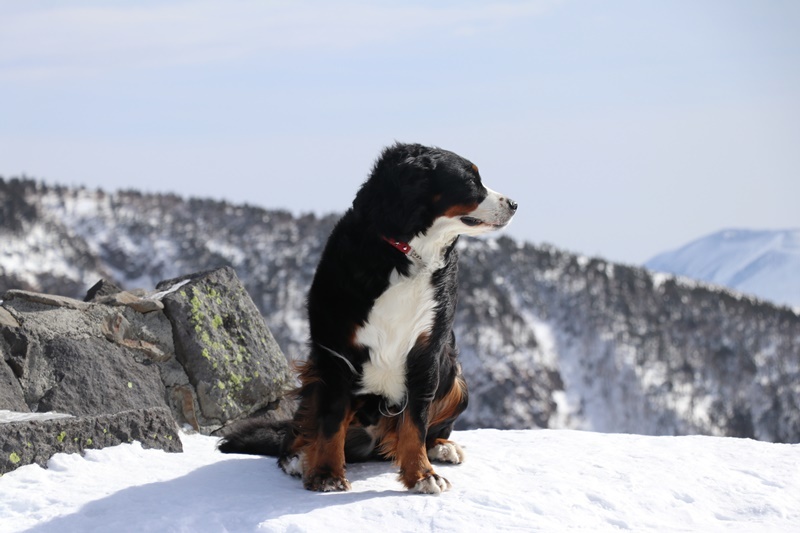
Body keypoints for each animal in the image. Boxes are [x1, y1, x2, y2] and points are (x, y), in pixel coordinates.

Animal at [219, 142, 520, 494]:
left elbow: (416, 424)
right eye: (471, 180)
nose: (514, 204)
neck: (405, 255)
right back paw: (298, 457)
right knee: (297, 431)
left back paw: (442, 446)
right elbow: (331, 421)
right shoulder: (336, 353)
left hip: (455, 380)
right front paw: (327, 473)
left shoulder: (426, 351)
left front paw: (422, 474)